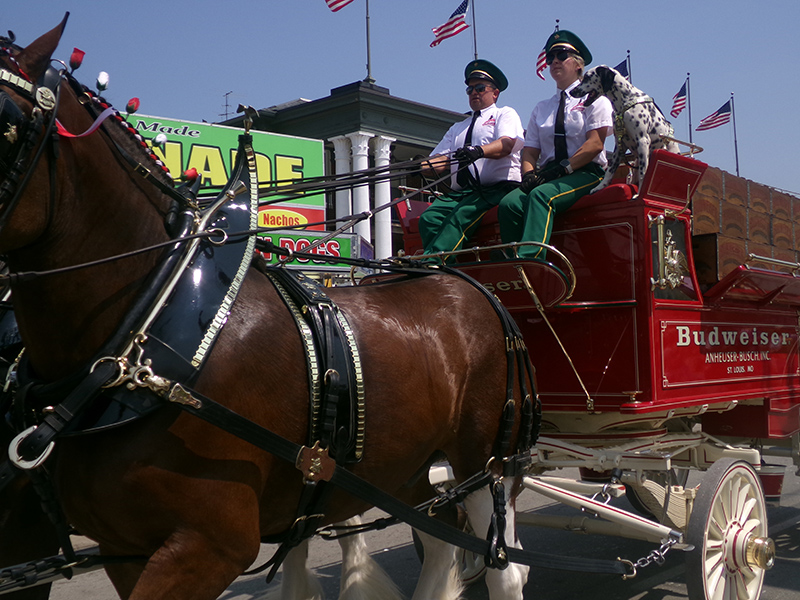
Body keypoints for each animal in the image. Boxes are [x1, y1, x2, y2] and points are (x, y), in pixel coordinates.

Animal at [3, 16, 536, 596]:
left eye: (6, 121)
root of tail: (474, 286)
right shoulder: (124, 548)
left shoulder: (211, 544)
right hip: (407, 466)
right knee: (442, 546)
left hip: (485, 460)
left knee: (504, 567)